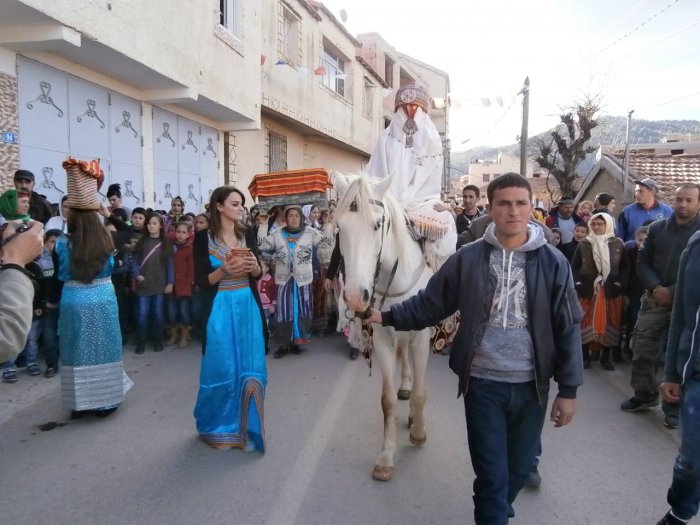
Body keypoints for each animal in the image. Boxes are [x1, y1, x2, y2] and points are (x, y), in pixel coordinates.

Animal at [334, 174, 432, 482]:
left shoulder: (421, 336)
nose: (356, 297)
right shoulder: (381, 338)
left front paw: (418, 432)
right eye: (339, 227)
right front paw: (386, 457)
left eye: (377, 224)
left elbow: (422, 391)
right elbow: (387, 400)